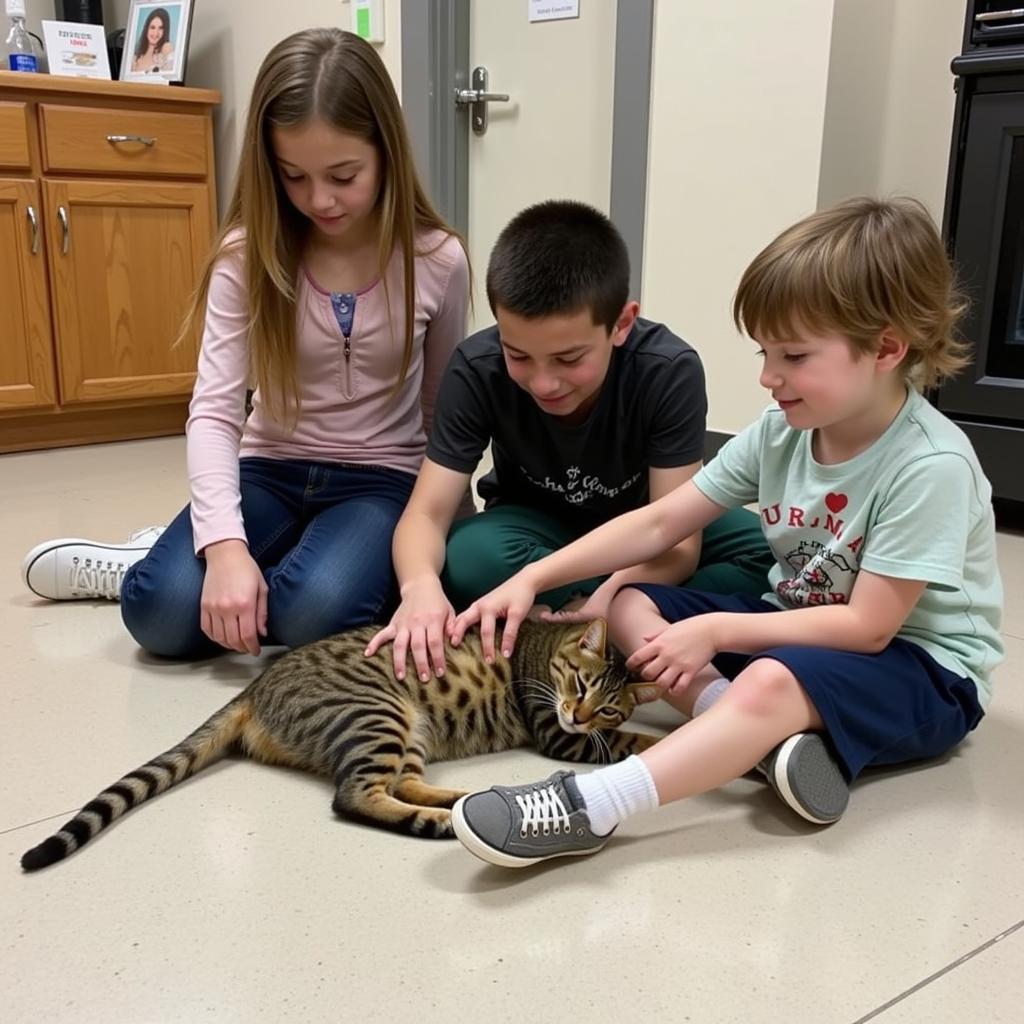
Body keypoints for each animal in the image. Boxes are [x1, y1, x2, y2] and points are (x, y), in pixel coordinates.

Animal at [25, 614, 663, 872]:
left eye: (606, 702)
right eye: (578, 684)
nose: (582, 714)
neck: (543, 641)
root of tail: (257, 685)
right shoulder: (556, 731)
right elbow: (639, 738)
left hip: (409, 730)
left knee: (402, 783)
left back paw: (459, 801)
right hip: (379, 715)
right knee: (354, 796)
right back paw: (437, 822)